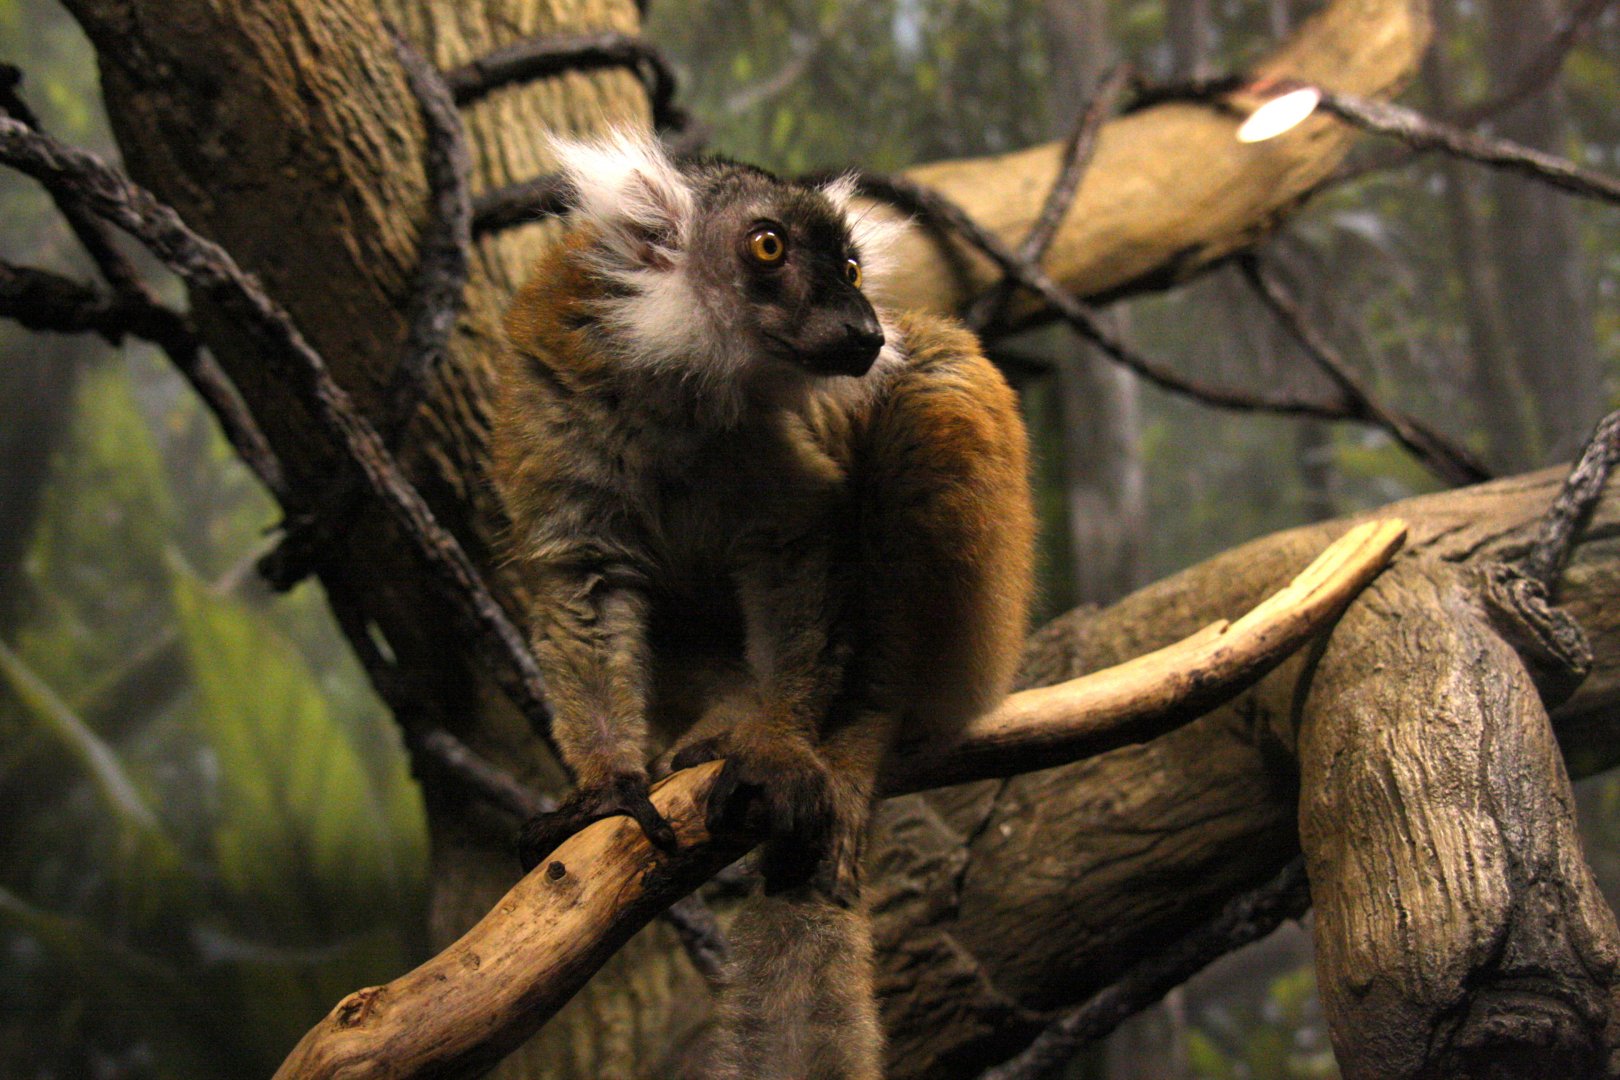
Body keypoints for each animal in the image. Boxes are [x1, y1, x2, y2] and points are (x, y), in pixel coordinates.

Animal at [490, 129, 1035, 1079]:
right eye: (769, 247)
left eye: (850, 267)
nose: (864, 330)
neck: (680, 390)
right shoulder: (557, 388)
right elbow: (585, 579)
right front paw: (606, 784)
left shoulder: (782, 444)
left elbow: (796, 549)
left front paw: (785, 748)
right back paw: (721, 722)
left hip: (975, 642)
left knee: (932, 384)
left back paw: (853, 740)